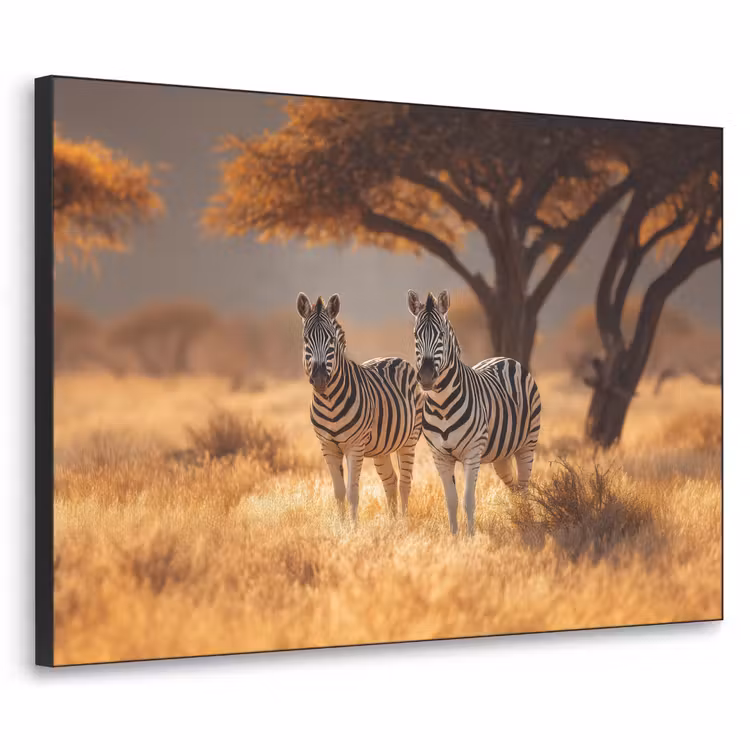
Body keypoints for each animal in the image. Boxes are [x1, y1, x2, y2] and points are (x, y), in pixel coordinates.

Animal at [297, 293, 424, 522]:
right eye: (306, 339)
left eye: (331, 340)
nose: (319, 379)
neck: (329, 402)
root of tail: (395, 358)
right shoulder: (327, 447)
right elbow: (339, 492)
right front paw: (341, 526)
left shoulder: (354, 446)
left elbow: (352, 492)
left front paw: (353, 528)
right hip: (382, 447)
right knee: (390, 481)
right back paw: (392, 524)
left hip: (409, 439)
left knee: (404, 484)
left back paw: (402, 522)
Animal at [407, 290, 542, 535]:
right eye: (416, 335)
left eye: (441, 334)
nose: (427, 376)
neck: (442, 405)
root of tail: (505, 358)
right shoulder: (440, 456)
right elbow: (451, 500)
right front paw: (454, 536)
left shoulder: (472, 453)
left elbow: (468, 500)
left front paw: (470, 537)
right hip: (502, 454)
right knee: (514, 487)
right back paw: (519, 519)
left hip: (528, 444)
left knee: (524, 486)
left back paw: (527, 522)